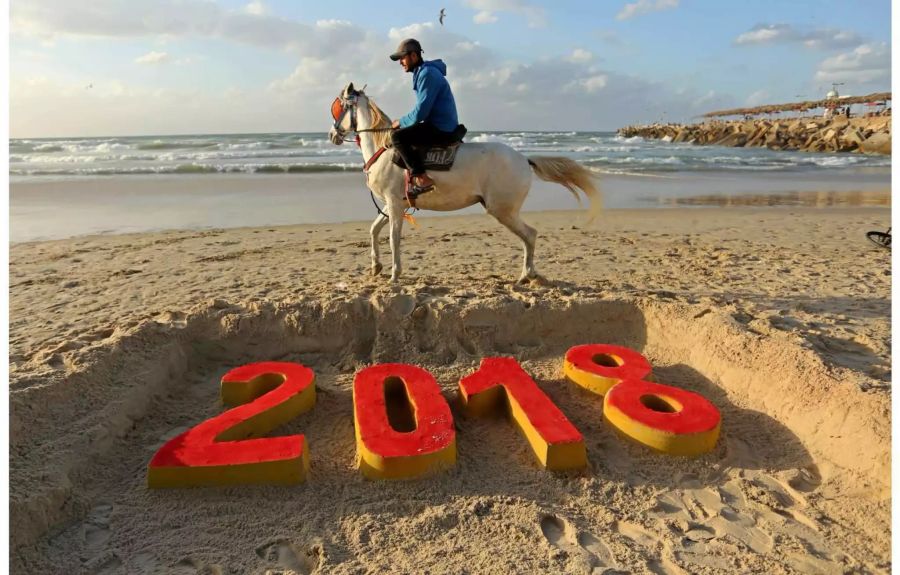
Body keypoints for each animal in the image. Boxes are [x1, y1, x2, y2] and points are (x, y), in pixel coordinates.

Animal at [326, 82, 600, 284]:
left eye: (339, 108)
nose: (332, 135)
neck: (383, 150)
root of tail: (524, 159)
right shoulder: (396, 205)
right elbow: (374, 230)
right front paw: (376, 266)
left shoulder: (394, 205)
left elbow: (393, 238)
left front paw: (395, 275)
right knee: (528, 236)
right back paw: (527, 275)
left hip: (502, 210)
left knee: (530, 235)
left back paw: (525, 275)